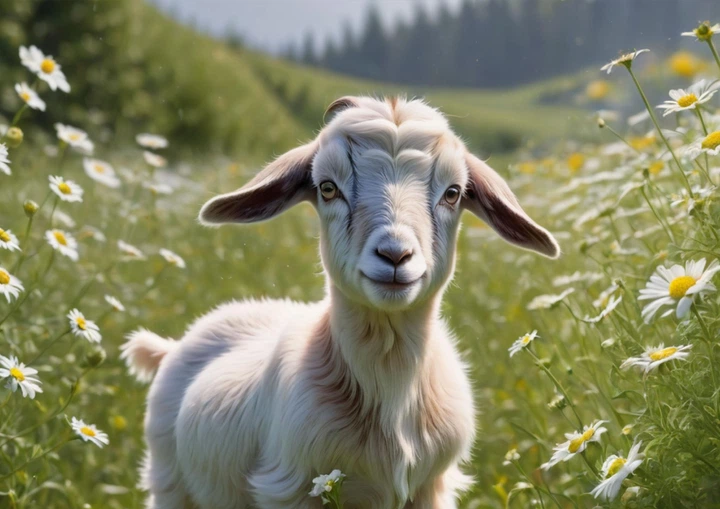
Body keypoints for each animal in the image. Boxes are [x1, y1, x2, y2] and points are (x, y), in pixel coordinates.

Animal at [121, 96, 559, 509]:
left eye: (452, 194)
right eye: (328, 188)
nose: (395, 255)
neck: (390, 382)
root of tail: (171, 347)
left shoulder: (432, 488)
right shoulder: (290, 489)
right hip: (169, 482)